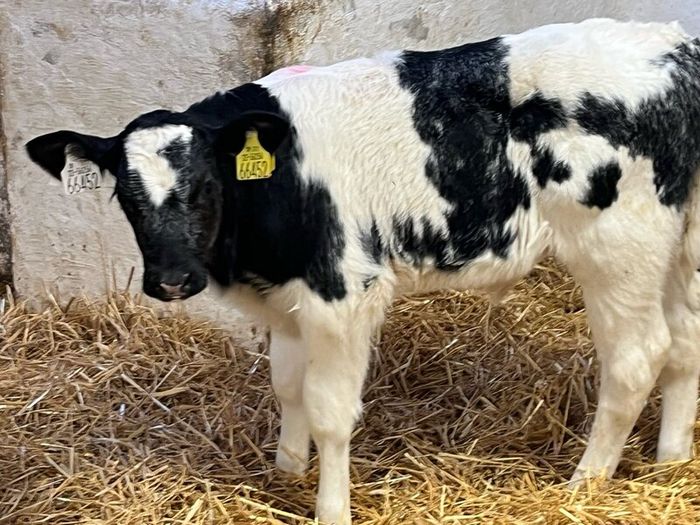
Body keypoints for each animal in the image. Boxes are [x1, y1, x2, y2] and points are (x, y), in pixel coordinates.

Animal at [25, 18, 700, 525]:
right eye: (125, 196)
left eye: (206, 187)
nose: (171, 280)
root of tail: (674, 46)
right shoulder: (288, 300)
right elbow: (287, 385)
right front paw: (286, 472)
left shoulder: (342, 293)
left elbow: (328, 409)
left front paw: (330, 508)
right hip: (682, 247)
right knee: (685, 343)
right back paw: (669, 463)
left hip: (617, 248)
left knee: (638, 357)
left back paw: (585, 483)